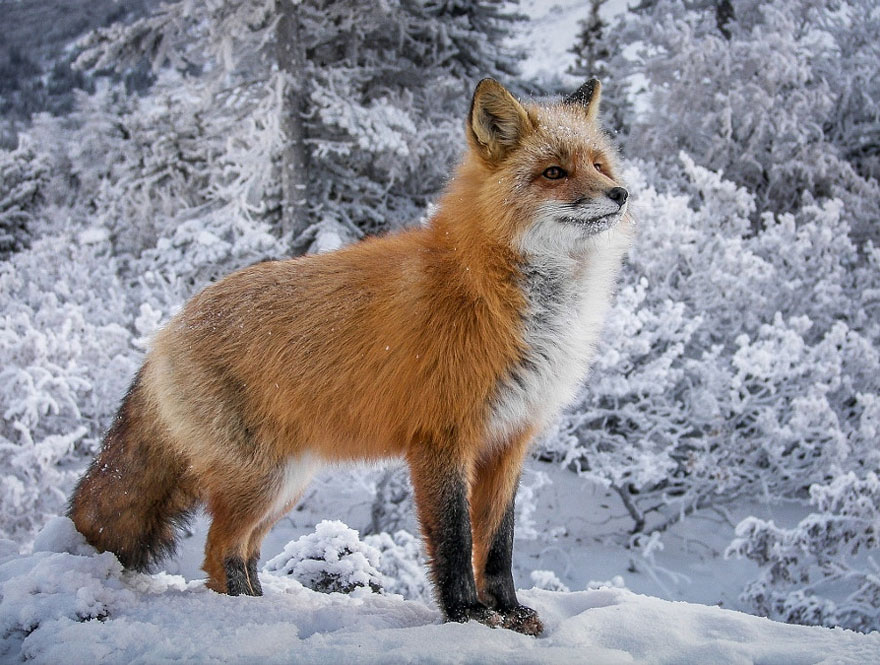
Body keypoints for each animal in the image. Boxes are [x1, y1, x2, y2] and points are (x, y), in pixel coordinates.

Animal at [68, 78, 633, 636]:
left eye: (599, 165)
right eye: (553, 172)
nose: (621, 194)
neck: (499, 292)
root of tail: (169, 329)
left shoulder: (509, 441)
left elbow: (497, 545)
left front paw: (508, 612)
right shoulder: (441, 439)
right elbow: (453, 543)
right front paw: (467, 617)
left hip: (286, 482)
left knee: (243, 550)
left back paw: (260, 605)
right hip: (262, 479)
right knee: (217, 549)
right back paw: (245, 618)